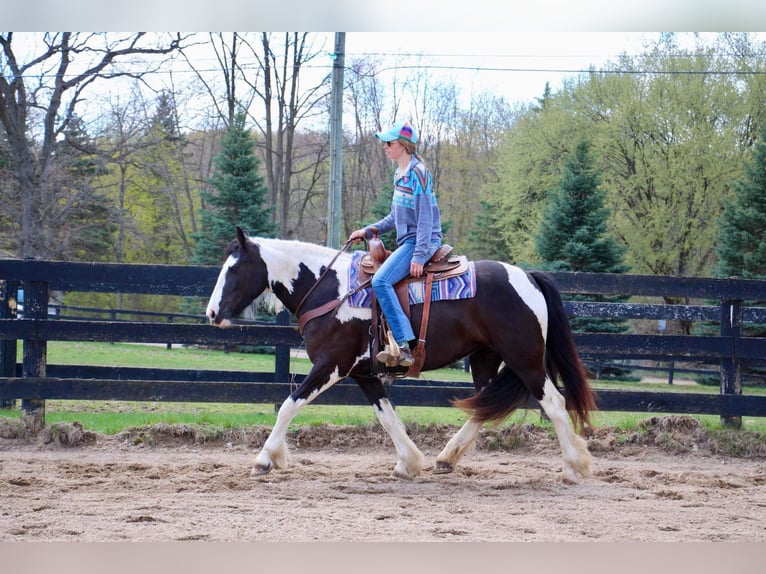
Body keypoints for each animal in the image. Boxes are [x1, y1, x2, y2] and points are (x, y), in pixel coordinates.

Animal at [206, 227, 600, 484]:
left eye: (234, 268)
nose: (211, 313)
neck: (328, 289)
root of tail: (528, 277)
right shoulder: (363, 372)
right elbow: (387, 416)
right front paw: (408, 463)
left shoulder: (331, 365)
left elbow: (289, 405)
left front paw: (264, 460)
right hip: (485, 357)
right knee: (482, 405)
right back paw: (446, 457)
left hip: (526, 358)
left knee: (554, 404)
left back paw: (574, 466)